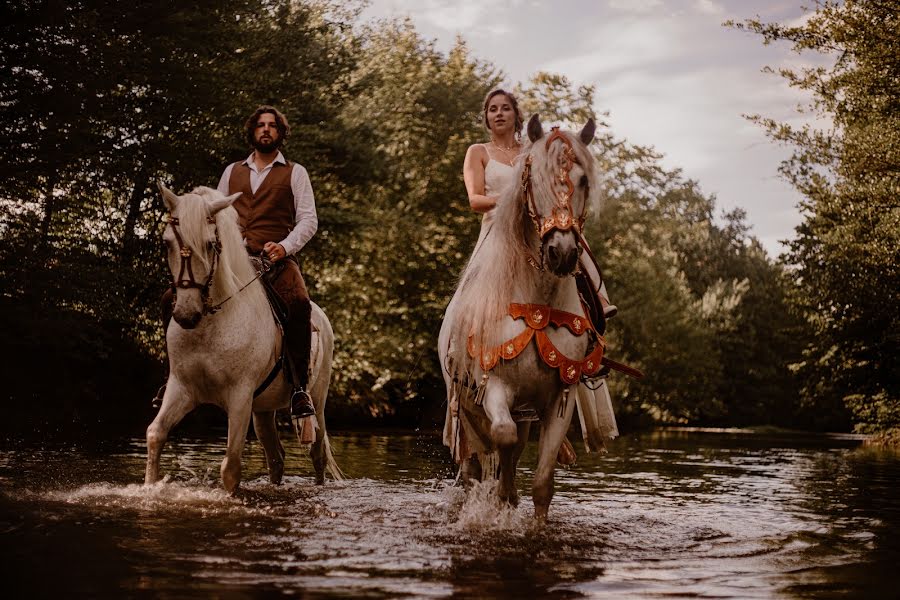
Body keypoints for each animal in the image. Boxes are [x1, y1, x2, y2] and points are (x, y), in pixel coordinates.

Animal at [144, 184, 342, 492]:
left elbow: (231, 466)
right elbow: (156, 435)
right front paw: (148, 489)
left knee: (317, 452)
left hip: (317, 403)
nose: (187, 314)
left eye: (210, 245)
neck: (211, 324)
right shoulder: (181, 389)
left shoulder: (239, 396)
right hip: (262, 410)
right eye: (167, 243)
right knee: (276, 457)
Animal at [442, 116, 612, 520]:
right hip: (463, 404)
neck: (537, 301)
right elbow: (501, 438)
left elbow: (540, 482)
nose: (562, 253)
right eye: (534, 180)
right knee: (474, 461)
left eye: (583, 180)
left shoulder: (559, 397)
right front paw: (500, 496)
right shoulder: (494, 385)